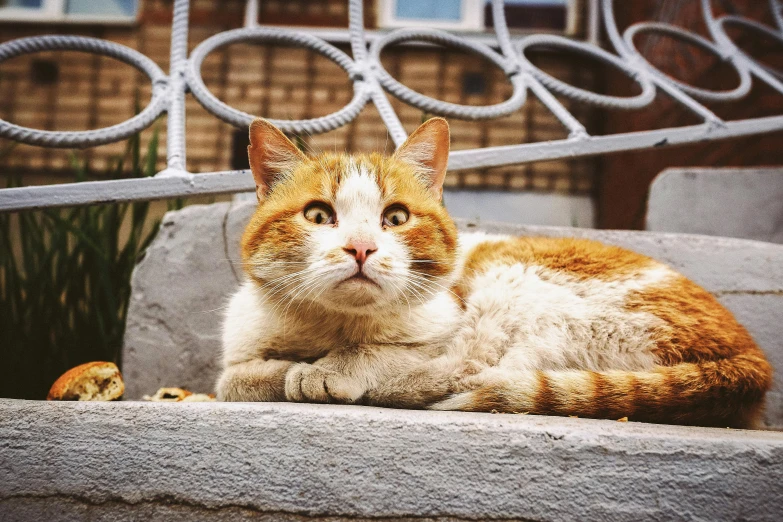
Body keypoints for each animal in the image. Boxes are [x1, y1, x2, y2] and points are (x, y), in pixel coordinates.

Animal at [214, 116, 772, 424]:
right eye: (317, 216)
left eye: (395, 218)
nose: (361, 248)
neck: (332, 328)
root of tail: (749, 356)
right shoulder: (239, 349)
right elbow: (236, 379)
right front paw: (291, 369)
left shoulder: (448, 321)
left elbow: (385, 352)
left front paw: (330, 370)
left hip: (515, 285)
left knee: (485, 372)